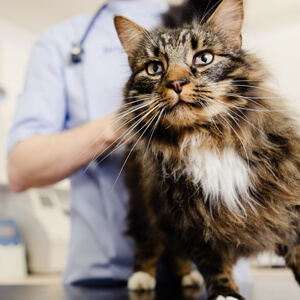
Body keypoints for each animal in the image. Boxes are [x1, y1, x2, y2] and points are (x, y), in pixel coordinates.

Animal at [112, 0, 300, 300]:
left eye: (204, 58)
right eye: (154, 68)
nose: (176, 83)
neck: (205, 138)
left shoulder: (288, 207)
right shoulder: (188, 218)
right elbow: (211, 262)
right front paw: (225, 292)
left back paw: (187, 277)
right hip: (146, 203)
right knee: (150, 241)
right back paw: (142, 277)